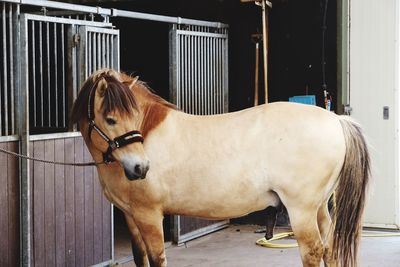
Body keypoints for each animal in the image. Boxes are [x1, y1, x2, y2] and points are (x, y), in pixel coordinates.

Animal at [70, 69, 370, 267]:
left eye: (132, 117)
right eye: (110, 119)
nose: (140, 168)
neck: (149, 134)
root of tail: (336, 120)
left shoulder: (149, 215)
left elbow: (156, 259)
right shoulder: (132, 216)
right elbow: (140, 258)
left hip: (301, 210)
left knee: (313, 251)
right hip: (318, 208)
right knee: (330, 248)